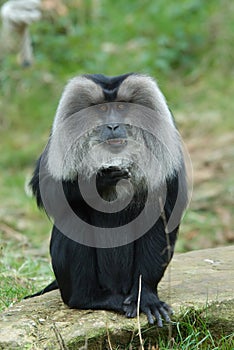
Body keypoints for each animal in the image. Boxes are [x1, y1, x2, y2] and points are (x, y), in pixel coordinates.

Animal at [27, 72, 188, 326]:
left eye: (121, 107)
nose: (112, 125)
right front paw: (99, 180)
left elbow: (163, 214)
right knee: (74, 216)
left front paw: (147, 298)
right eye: (102, 109)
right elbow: (46, 188)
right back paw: (92, 299)